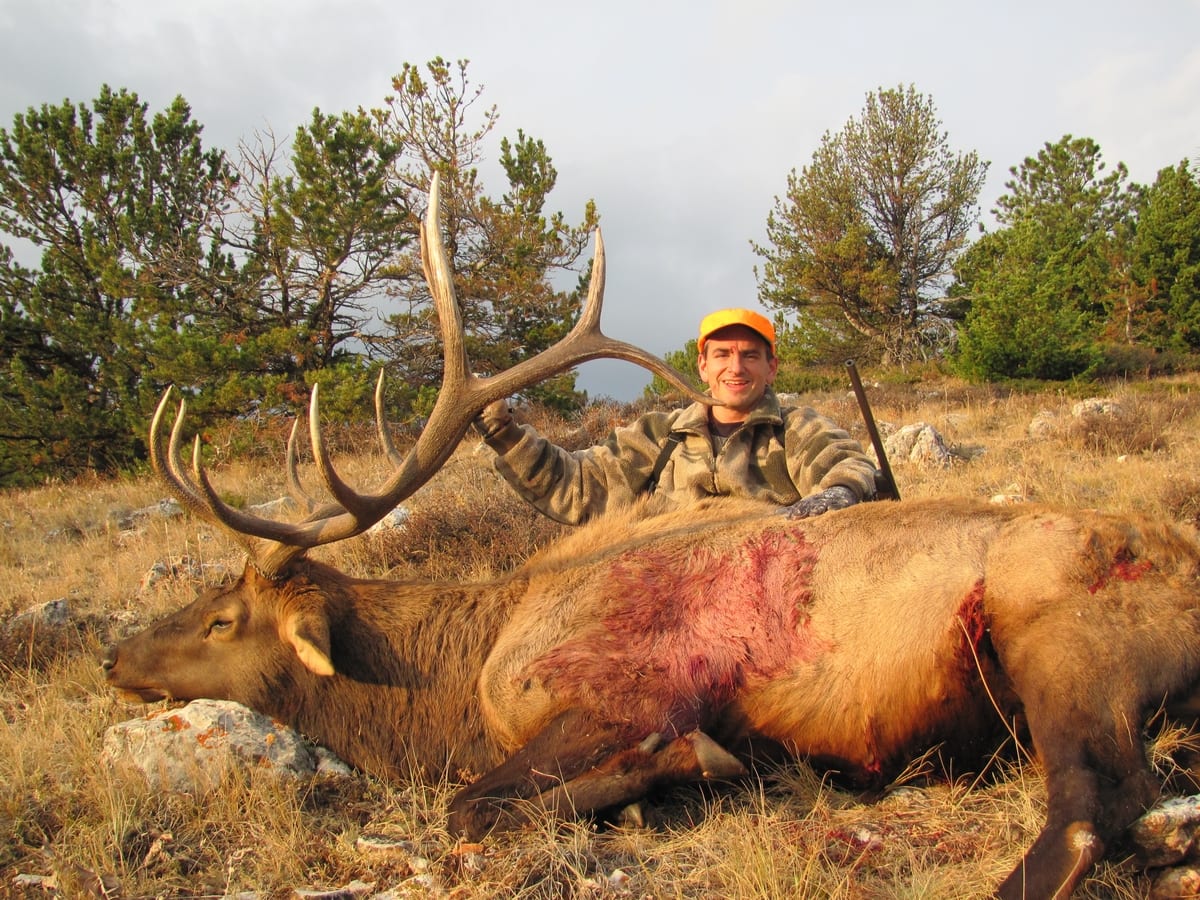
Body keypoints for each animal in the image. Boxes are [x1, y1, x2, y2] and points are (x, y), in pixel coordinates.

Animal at [102, 174, 1200, 900]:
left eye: (223, 616)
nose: (115, 658)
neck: (456, 676)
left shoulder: (624, 692)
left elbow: (476, 805)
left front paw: (684, 774)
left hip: (1054, 628)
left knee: (1092, 814)